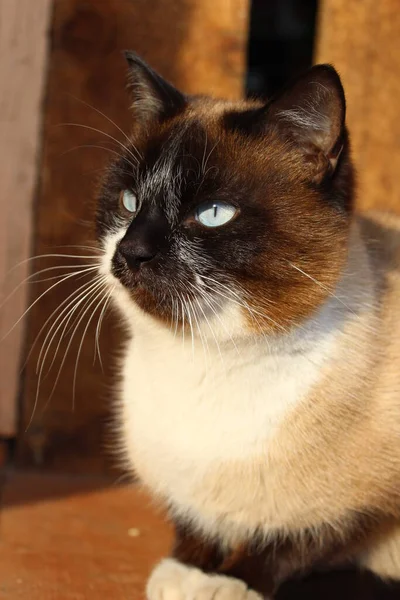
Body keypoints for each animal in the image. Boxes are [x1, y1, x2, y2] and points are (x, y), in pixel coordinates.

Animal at [96, 54, 400, 596]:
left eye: (213, 214)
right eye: (129, 203)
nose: (130, 251)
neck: (202, 363)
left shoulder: (368, 506)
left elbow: (292, 541)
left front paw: (226, 582)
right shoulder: (184, 487)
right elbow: (194, 523)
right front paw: (185, 570)